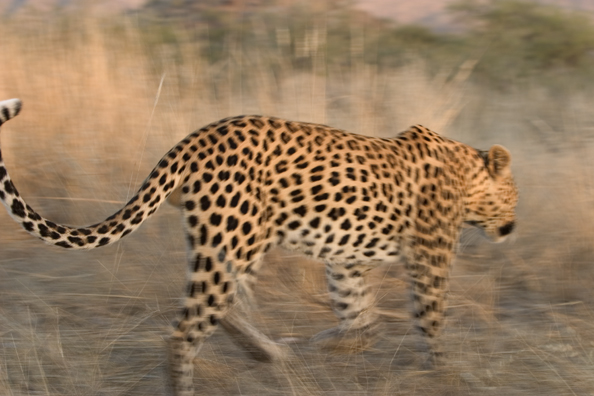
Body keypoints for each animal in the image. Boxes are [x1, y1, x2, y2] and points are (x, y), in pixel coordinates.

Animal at [0, 97, 512, 394]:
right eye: (515, 194)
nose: (511, 227)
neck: (468, 173)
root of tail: (195, 138)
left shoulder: (346, 263)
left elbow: (361, 316)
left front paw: (334, 345)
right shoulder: (430, 258)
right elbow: (430, 317)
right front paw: (443, 373)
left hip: (232, 243)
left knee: (225, 308)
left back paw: (270, 353)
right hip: (237, 237)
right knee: (186, 329)